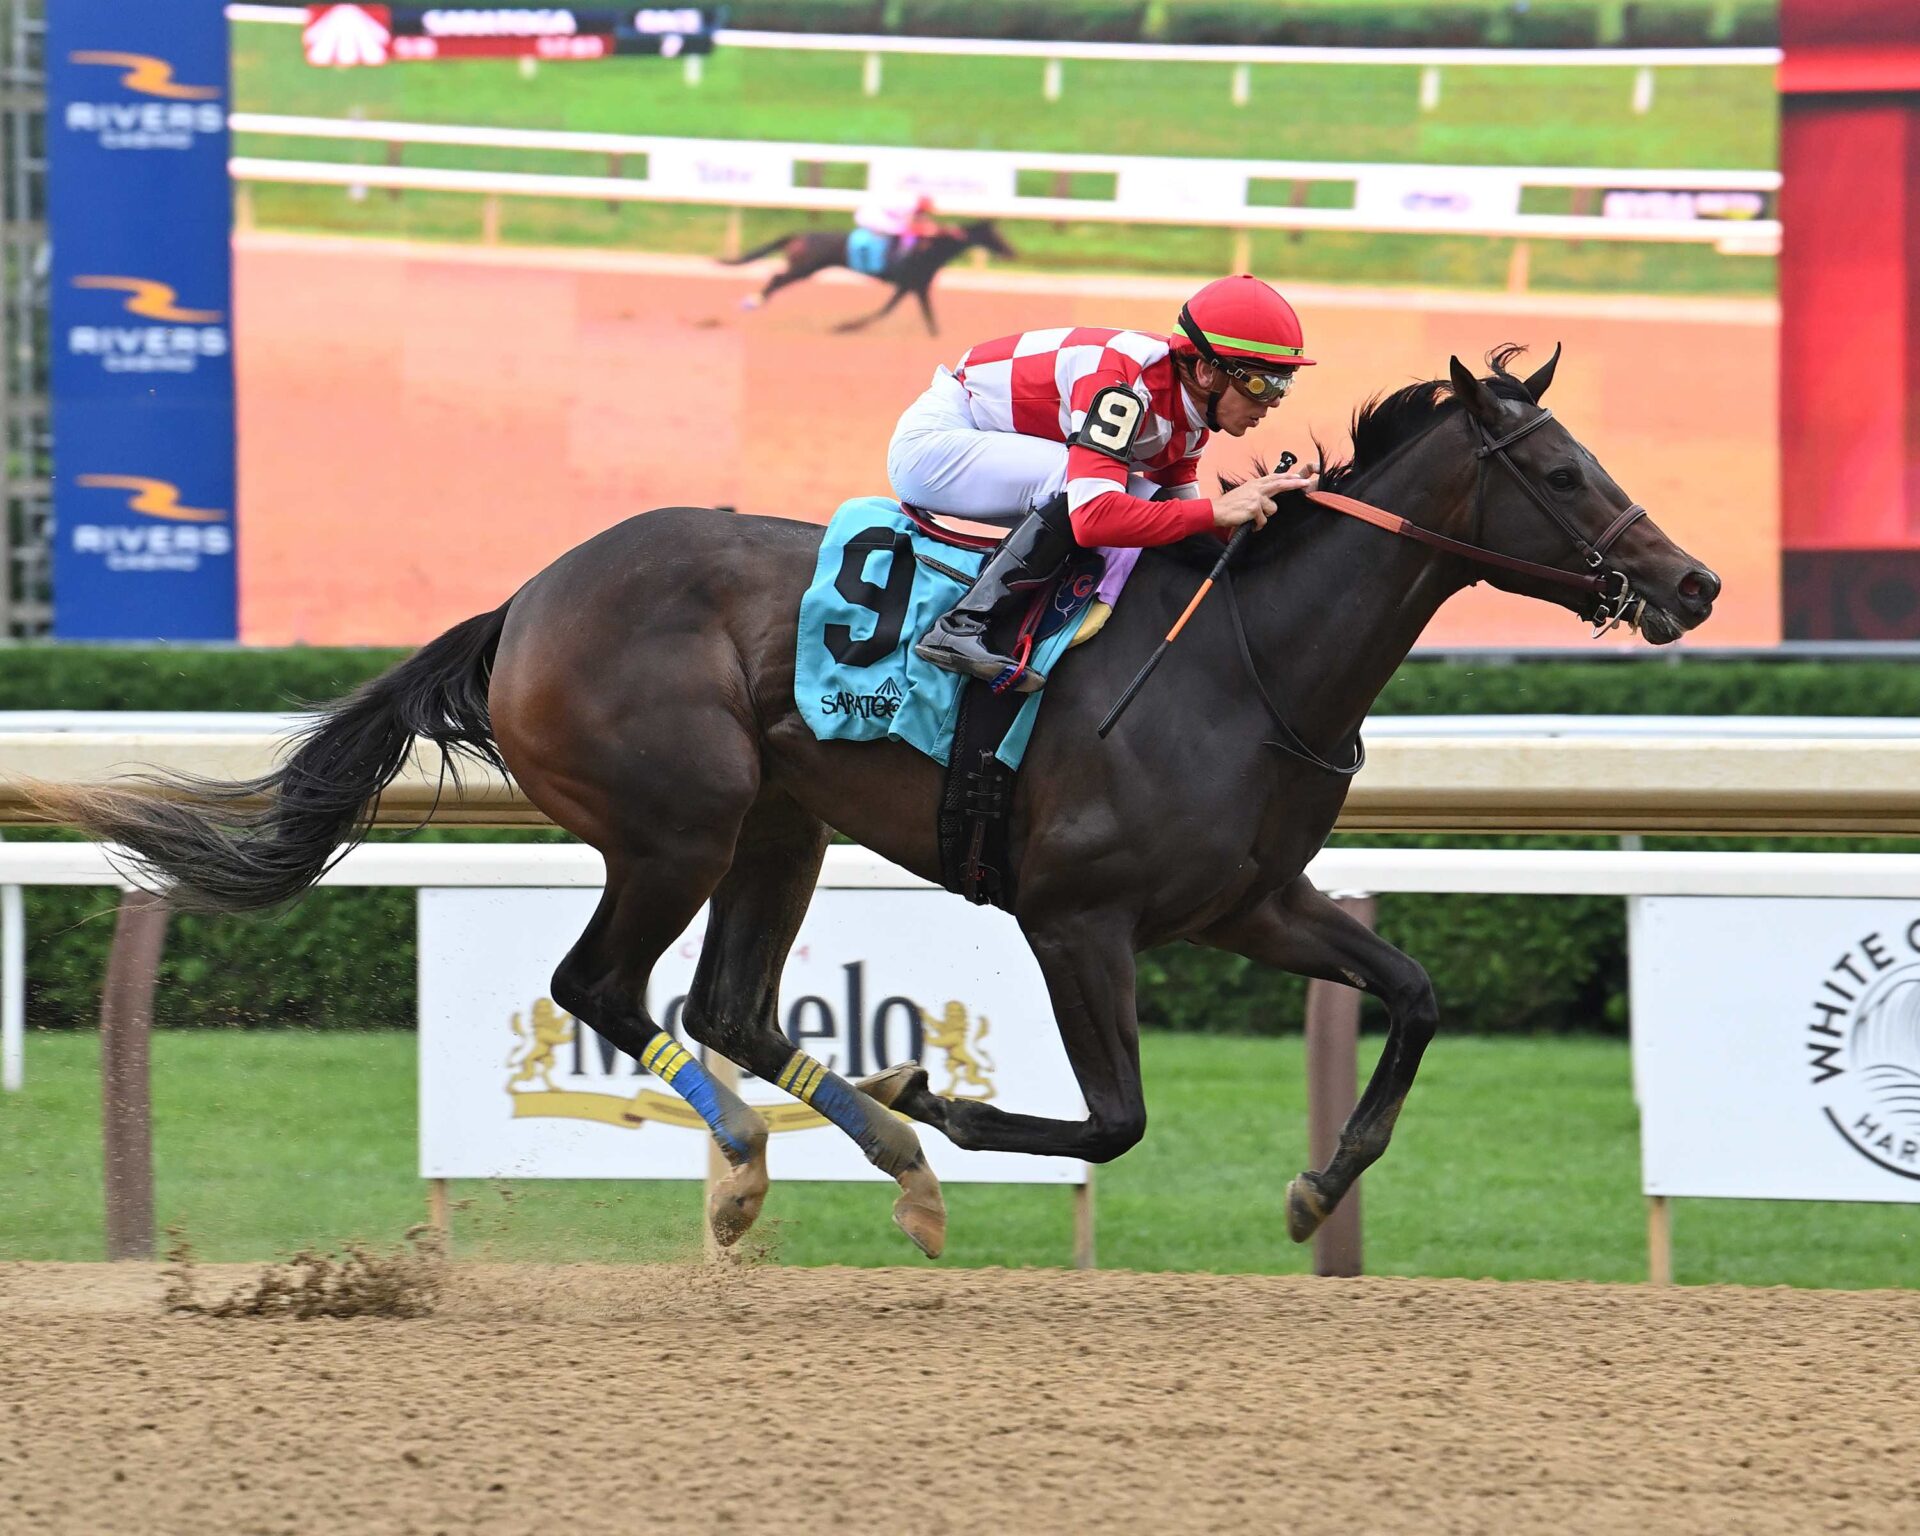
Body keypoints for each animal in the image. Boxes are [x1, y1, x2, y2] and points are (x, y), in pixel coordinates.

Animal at [32, 345, 1720, 1262]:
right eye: (1563, 471)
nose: (1696, 582)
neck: (1243, 658)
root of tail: (525, 600)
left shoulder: (1252, 902)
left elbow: (1416, 992)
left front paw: (1318, 1190)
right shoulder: (1078, 915)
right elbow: (1117, 1118)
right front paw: (951, 1100)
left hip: (783, 824)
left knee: (720, 1001)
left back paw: (868, 1161)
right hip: (683, 816)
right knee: (605, 985)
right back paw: (772, 1154)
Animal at [724, 219, 1016, 335]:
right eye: (996, 236)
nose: (1012, 251)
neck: (929, 247)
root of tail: (799, 235)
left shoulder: (915, 286)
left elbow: (925, 315)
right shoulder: (909, 284)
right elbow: (885, 311)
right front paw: (846, 326)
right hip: (804, 268)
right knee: (776, 278)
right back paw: (753, 301)